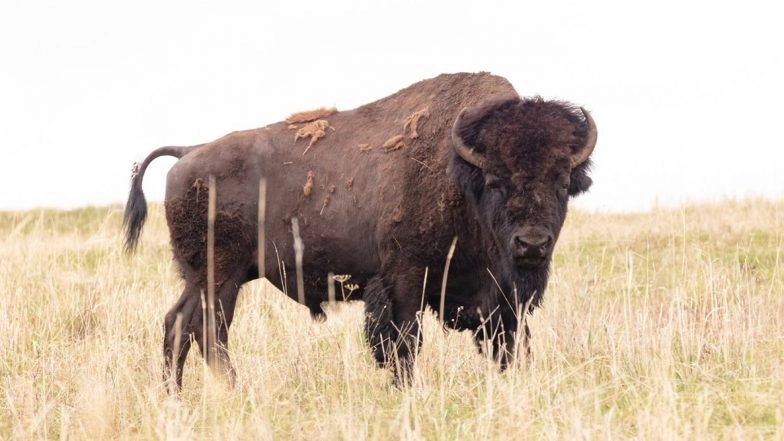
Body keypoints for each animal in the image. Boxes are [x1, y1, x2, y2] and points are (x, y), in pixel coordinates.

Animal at [123, 72, 597, 390]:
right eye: (496, 181)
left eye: (562, 180)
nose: (532, 244)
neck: (462, 175)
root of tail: (189, 153)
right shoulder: (404, 281)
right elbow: (403, 344)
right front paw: (406, 391)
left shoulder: (502, 300)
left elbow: (509, 345)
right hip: (219, 278)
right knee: (207, 331)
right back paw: (230, 392)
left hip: (205, 278)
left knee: (179, 326)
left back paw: (177, 396)